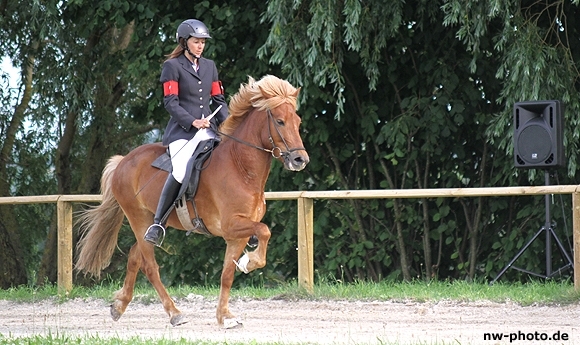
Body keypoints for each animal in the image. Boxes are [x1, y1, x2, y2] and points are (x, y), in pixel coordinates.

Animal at [75, 75, 310, 328]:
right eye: (280, 121)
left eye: (298, 121)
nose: (300, 159)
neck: (240, 167)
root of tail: (124, 161)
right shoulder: (231, 226)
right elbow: (265, 231)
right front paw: (249, 261)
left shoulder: (237, 235)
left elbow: (227, 274)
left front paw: (225, 316)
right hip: (138, 218)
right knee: (149, 265)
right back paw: (174, 313)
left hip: (152, 223)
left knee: (135, 256)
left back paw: (119, 306)